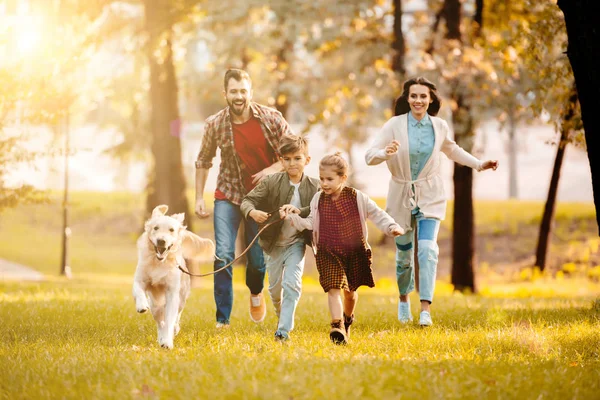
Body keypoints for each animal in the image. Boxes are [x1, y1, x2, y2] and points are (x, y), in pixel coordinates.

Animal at [134, 205, 216, 348]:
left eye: (171, 230)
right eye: (155, 228)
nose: (161, 241)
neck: (160, 262)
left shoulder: (172, 293)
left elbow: (170, 320)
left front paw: (167, 341)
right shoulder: (140, 279)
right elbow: (138, 290)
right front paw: (141, 305)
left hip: (181, 298)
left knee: (176, 316)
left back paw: (173, 331)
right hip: (155, 305)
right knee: (159, 321)